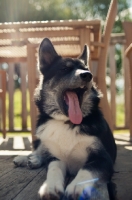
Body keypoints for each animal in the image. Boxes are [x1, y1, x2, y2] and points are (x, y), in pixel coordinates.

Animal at [13, 38, 116, 200]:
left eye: (86, 69)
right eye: (64, 69)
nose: (88, 75)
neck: (66, 122)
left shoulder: (103, 158)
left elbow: (89, 168)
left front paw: (76, 186)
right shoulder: (56, 158)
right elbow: (53, 168)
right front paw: (50, 186)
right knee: (40, 150)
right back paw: (30, 159)